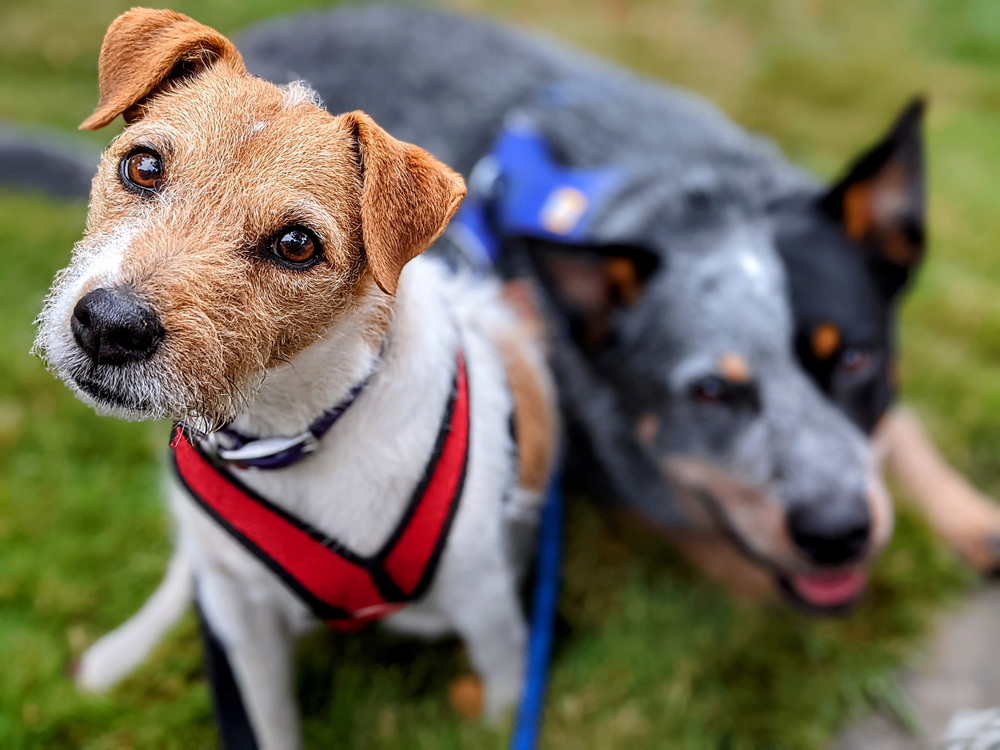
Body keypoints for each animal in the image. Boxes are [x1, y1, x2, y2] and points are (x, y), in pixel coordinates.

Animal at [31, 8, 560, 748]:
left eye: (295, 245)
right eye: (143, 165)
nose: (109, 325)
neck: (292, 430)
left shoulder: (492, 617)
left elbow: (499, 707)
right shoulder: (245, 625)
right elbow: (268, 720)